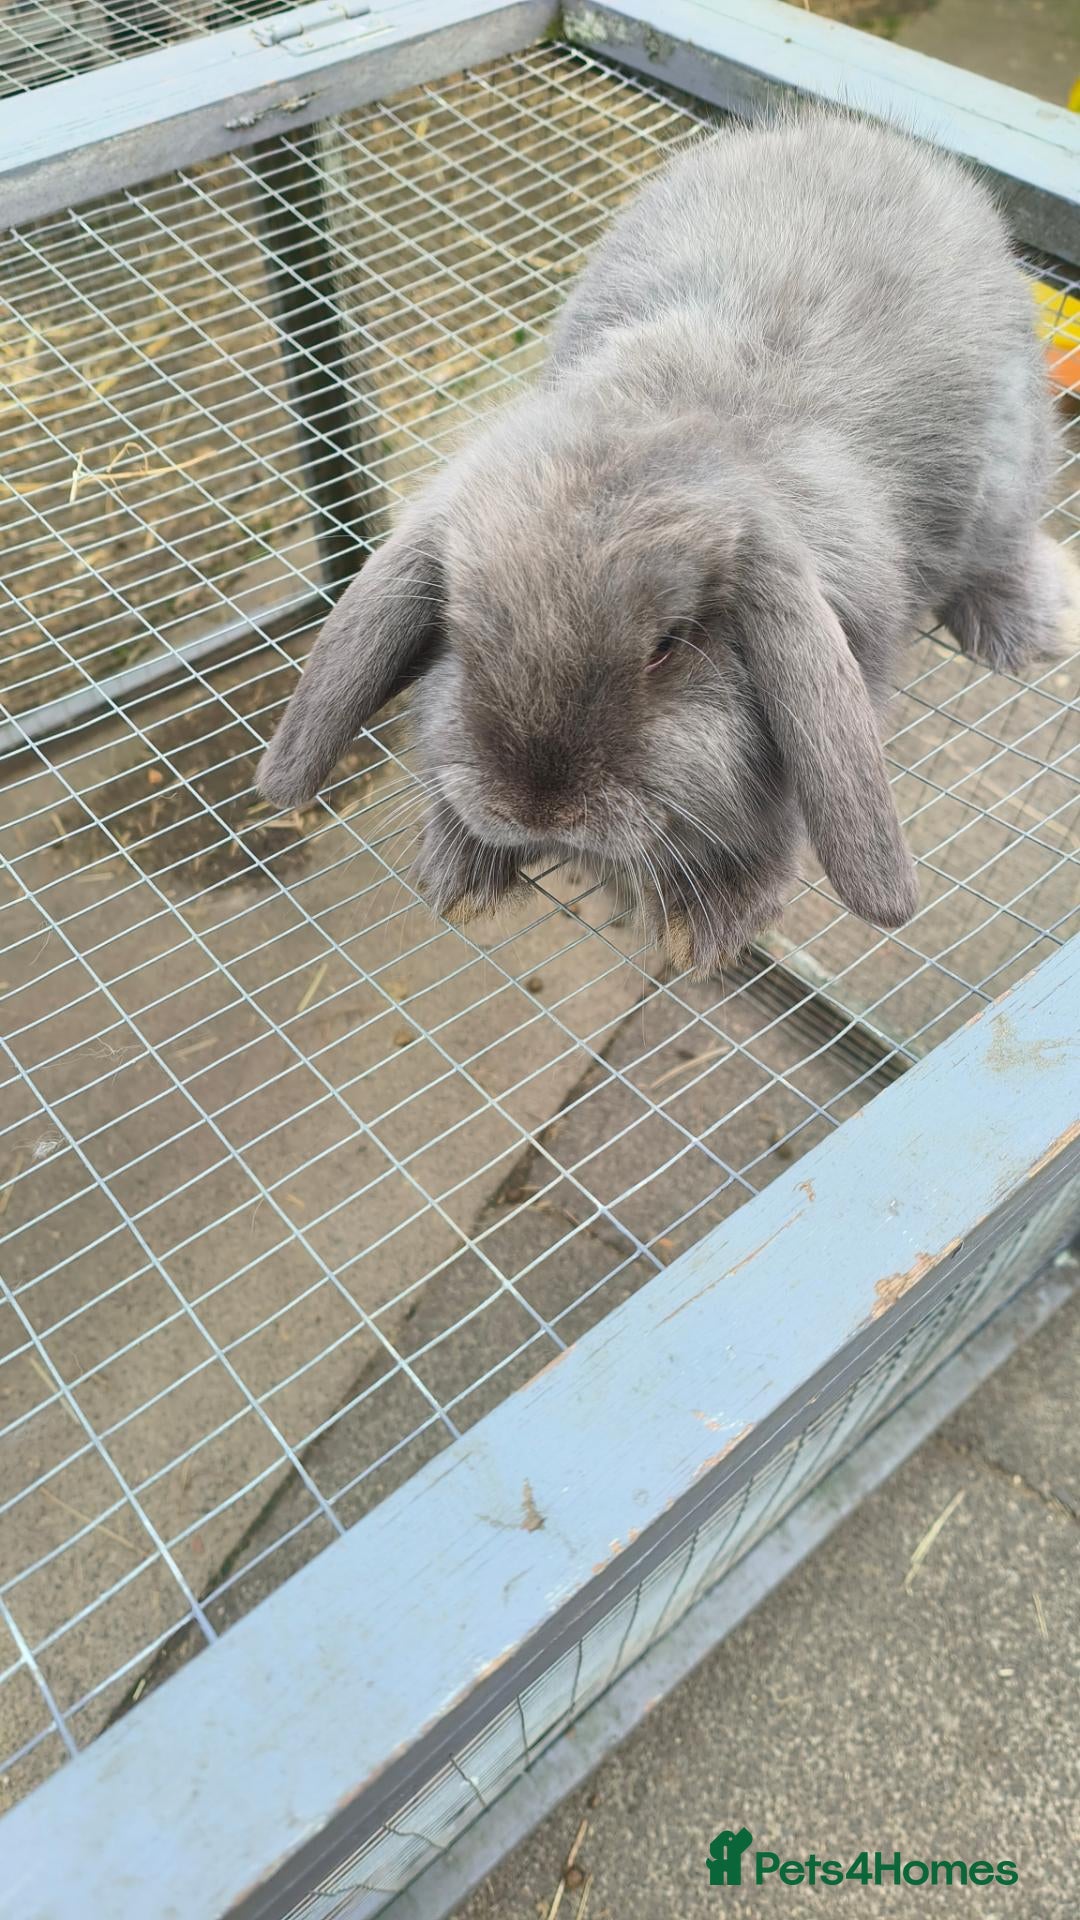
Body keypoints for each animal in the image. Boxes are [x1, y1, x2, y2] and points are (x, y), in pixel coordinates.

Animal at [257, 106, 1065, 976]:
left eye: (667, 647)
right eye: (461, 636)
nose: (539, 810)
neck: (671, 419)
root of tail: (861, 133)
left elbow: (779, 820)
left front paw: (707, 925)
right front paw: (461, 872)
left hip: (1010, 472)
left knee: (1004, 550)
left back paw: (1026, 630)